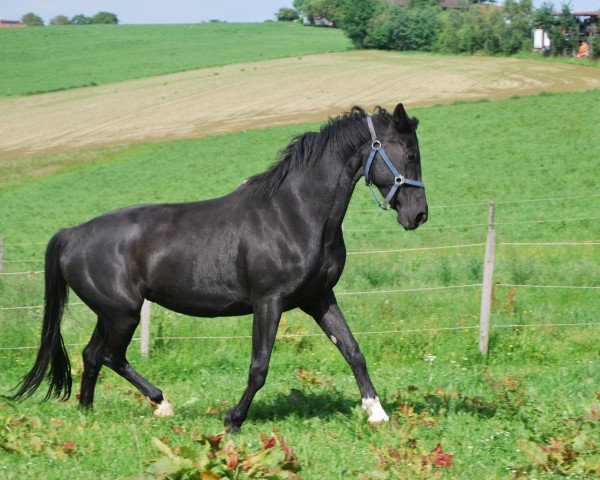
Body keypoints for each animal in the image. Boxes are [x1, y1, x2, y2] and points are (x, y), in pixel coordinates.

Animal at [14, 104, 426, 432]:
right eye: (408, 153)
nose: (418, 215)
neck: (294, 214)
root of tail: (72, 235)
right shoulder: (268, 302)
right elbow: (259, 367)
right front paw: (233, 420)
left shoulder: (319, 298)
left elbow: (353, 351)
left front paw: (377, 413)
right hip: (122, 314)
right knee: (109, 356)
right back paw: (161, 404)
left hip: (111, 314)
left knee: (91, 355)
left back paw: (88, 412)